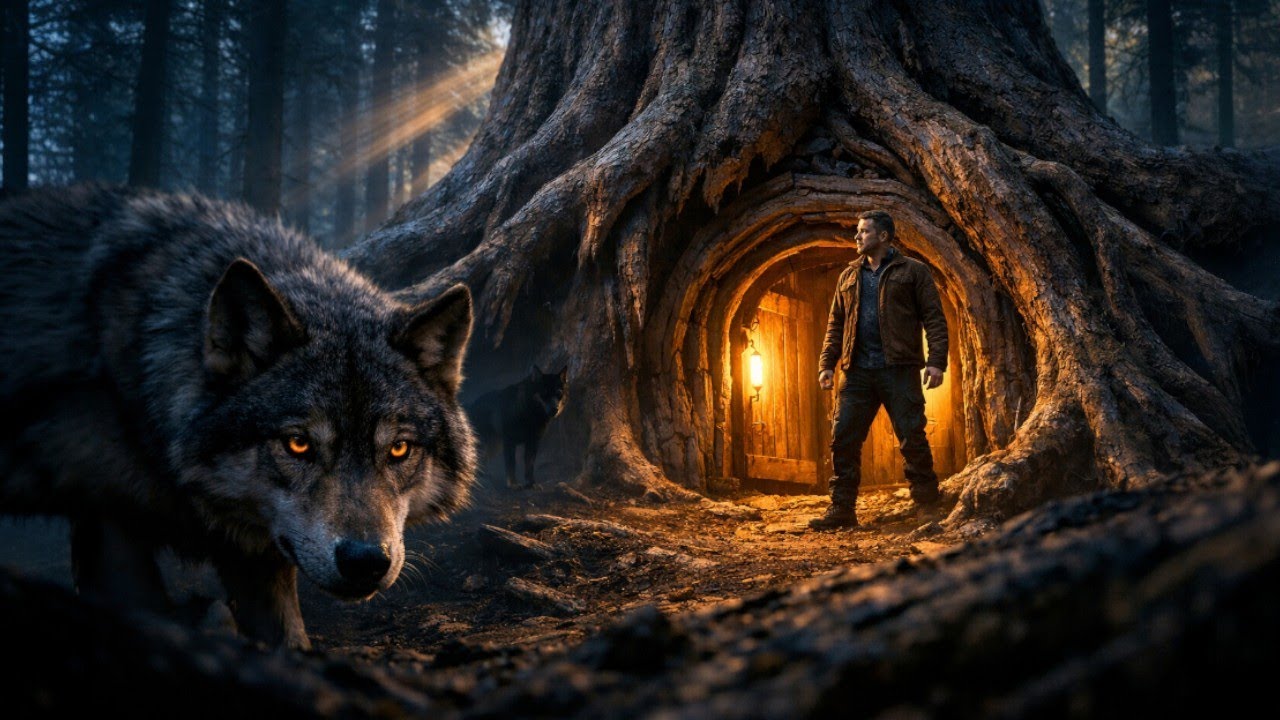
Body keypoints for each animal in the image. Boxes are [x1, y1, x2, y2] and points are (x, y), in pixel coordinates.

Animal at [0, 186, 477, 649]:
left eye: (399, 449)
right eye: (298, 444)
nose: (365, 560)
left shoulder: (258, 559)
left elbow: (290, 639)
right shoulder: (110, 523)